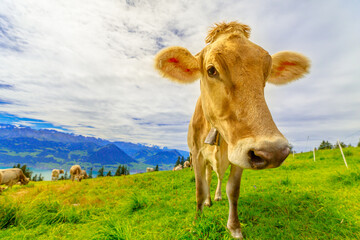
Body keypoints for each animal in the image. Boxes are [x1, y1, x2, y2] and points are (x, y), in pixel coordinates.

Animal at [155, 21, 310, 239]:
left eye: (266, 72)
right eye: (211, 70)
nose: (273, 151)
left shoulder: (240, 156)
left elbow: (233, 191)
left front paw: (235, 227)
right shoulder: (196, 155)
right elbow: (200, 189)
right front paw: (197, 221)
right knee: (210, 178)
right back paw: (210, 201)